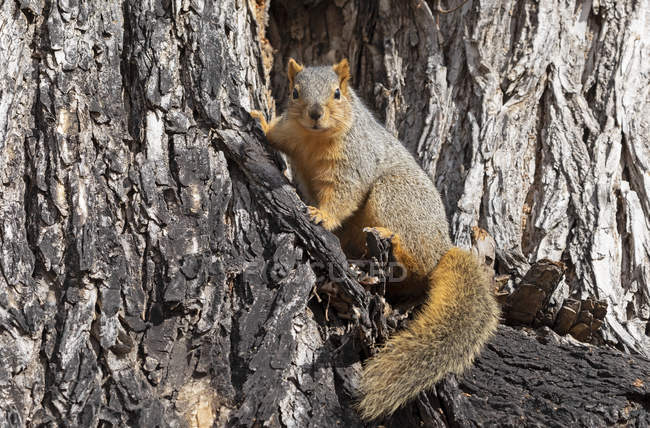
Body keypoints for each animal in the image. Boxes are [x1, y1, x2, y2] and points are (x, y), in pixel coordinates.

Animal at [251, 57, 498, 422]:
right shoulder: (291, 133)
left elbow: (344, 195)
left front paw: (322, 216)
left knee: (415, 262)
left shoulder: (354, 162)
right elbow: (275, 134)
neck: (313, 138)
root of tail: (442, 249)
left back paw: (390, 240)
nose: (314, 112)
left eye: (337, 93)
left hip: (392, 196)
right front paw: (258, 119)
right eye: (295, 92)